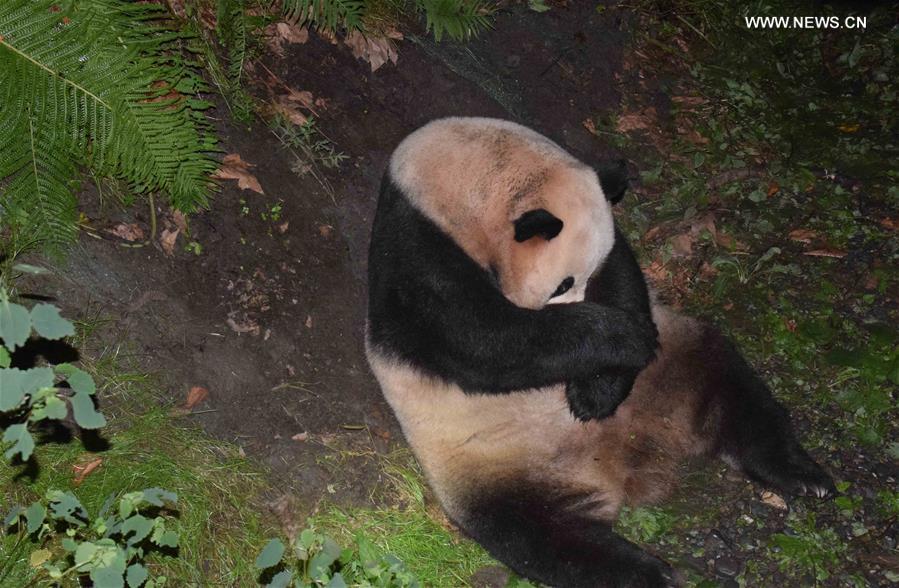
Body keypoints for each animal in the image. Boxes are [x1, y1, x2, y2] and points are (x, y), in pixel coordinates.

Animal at [365, 117, 834, 587]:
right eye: (563, 283)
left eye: (586, 275)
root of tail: (629, 457)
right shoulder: (418, 253)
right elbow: (482, 341)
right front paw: (623, 339)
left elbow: (625, 275)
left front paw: (595, 392)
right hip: (495, 465)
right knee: (542, 533)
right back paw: (649, 573)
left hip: (677, 362)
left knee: (732, 388)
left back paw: (799, 474)